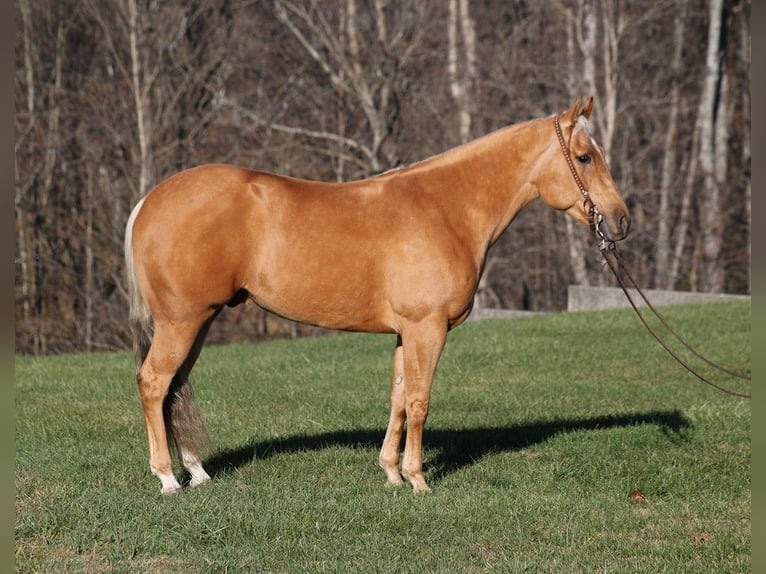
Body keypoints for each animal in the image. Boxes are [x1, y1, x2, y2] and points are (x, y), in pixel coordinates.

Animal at [124, 98, 632, 496]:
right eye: (584, 157)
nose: (621, 220)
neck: (445, 208)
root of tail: (149, 202)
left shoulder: (407, 332)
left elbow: (398, 397)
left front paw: (391, 473)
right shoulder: (428, 328)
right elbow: (420, 401)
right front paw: (419, 480)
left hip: (199, 322)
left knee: (175, 387)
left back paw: (197, 472)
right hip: (182, 322)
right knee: (154, 383)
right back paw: (167, 478)